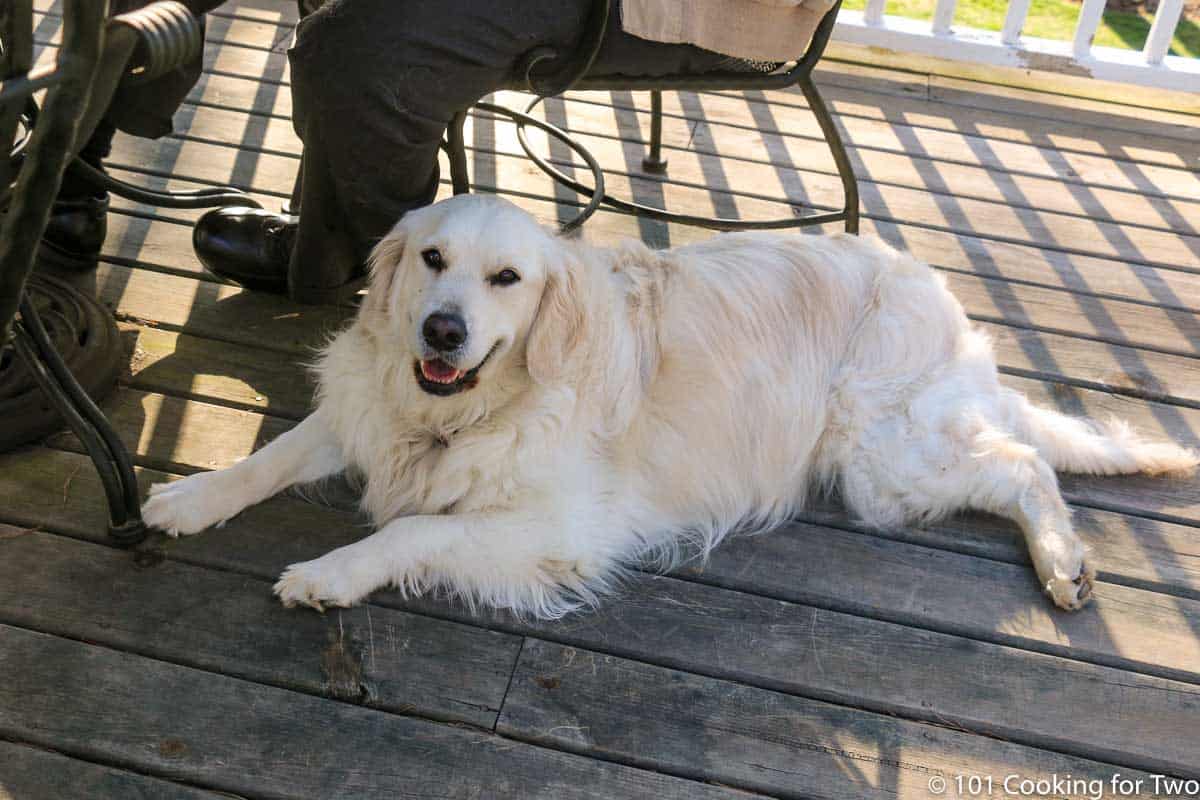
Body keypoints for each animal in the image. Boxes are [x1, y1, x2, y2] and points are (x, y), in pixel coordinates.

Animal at [142, 195, 1200, 618]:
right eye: (433, 259)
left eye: (507, 278)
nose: (441, 332)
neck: (458, 414)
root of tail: (938, 296)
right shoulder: (369, 410)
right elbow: (272, 454)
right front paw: (187, 498)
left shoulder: (561, 529)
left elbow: (408, 533)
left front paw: (328, 573)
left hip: (881, 461)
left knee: (1023, 464)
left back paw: (1064, 564)